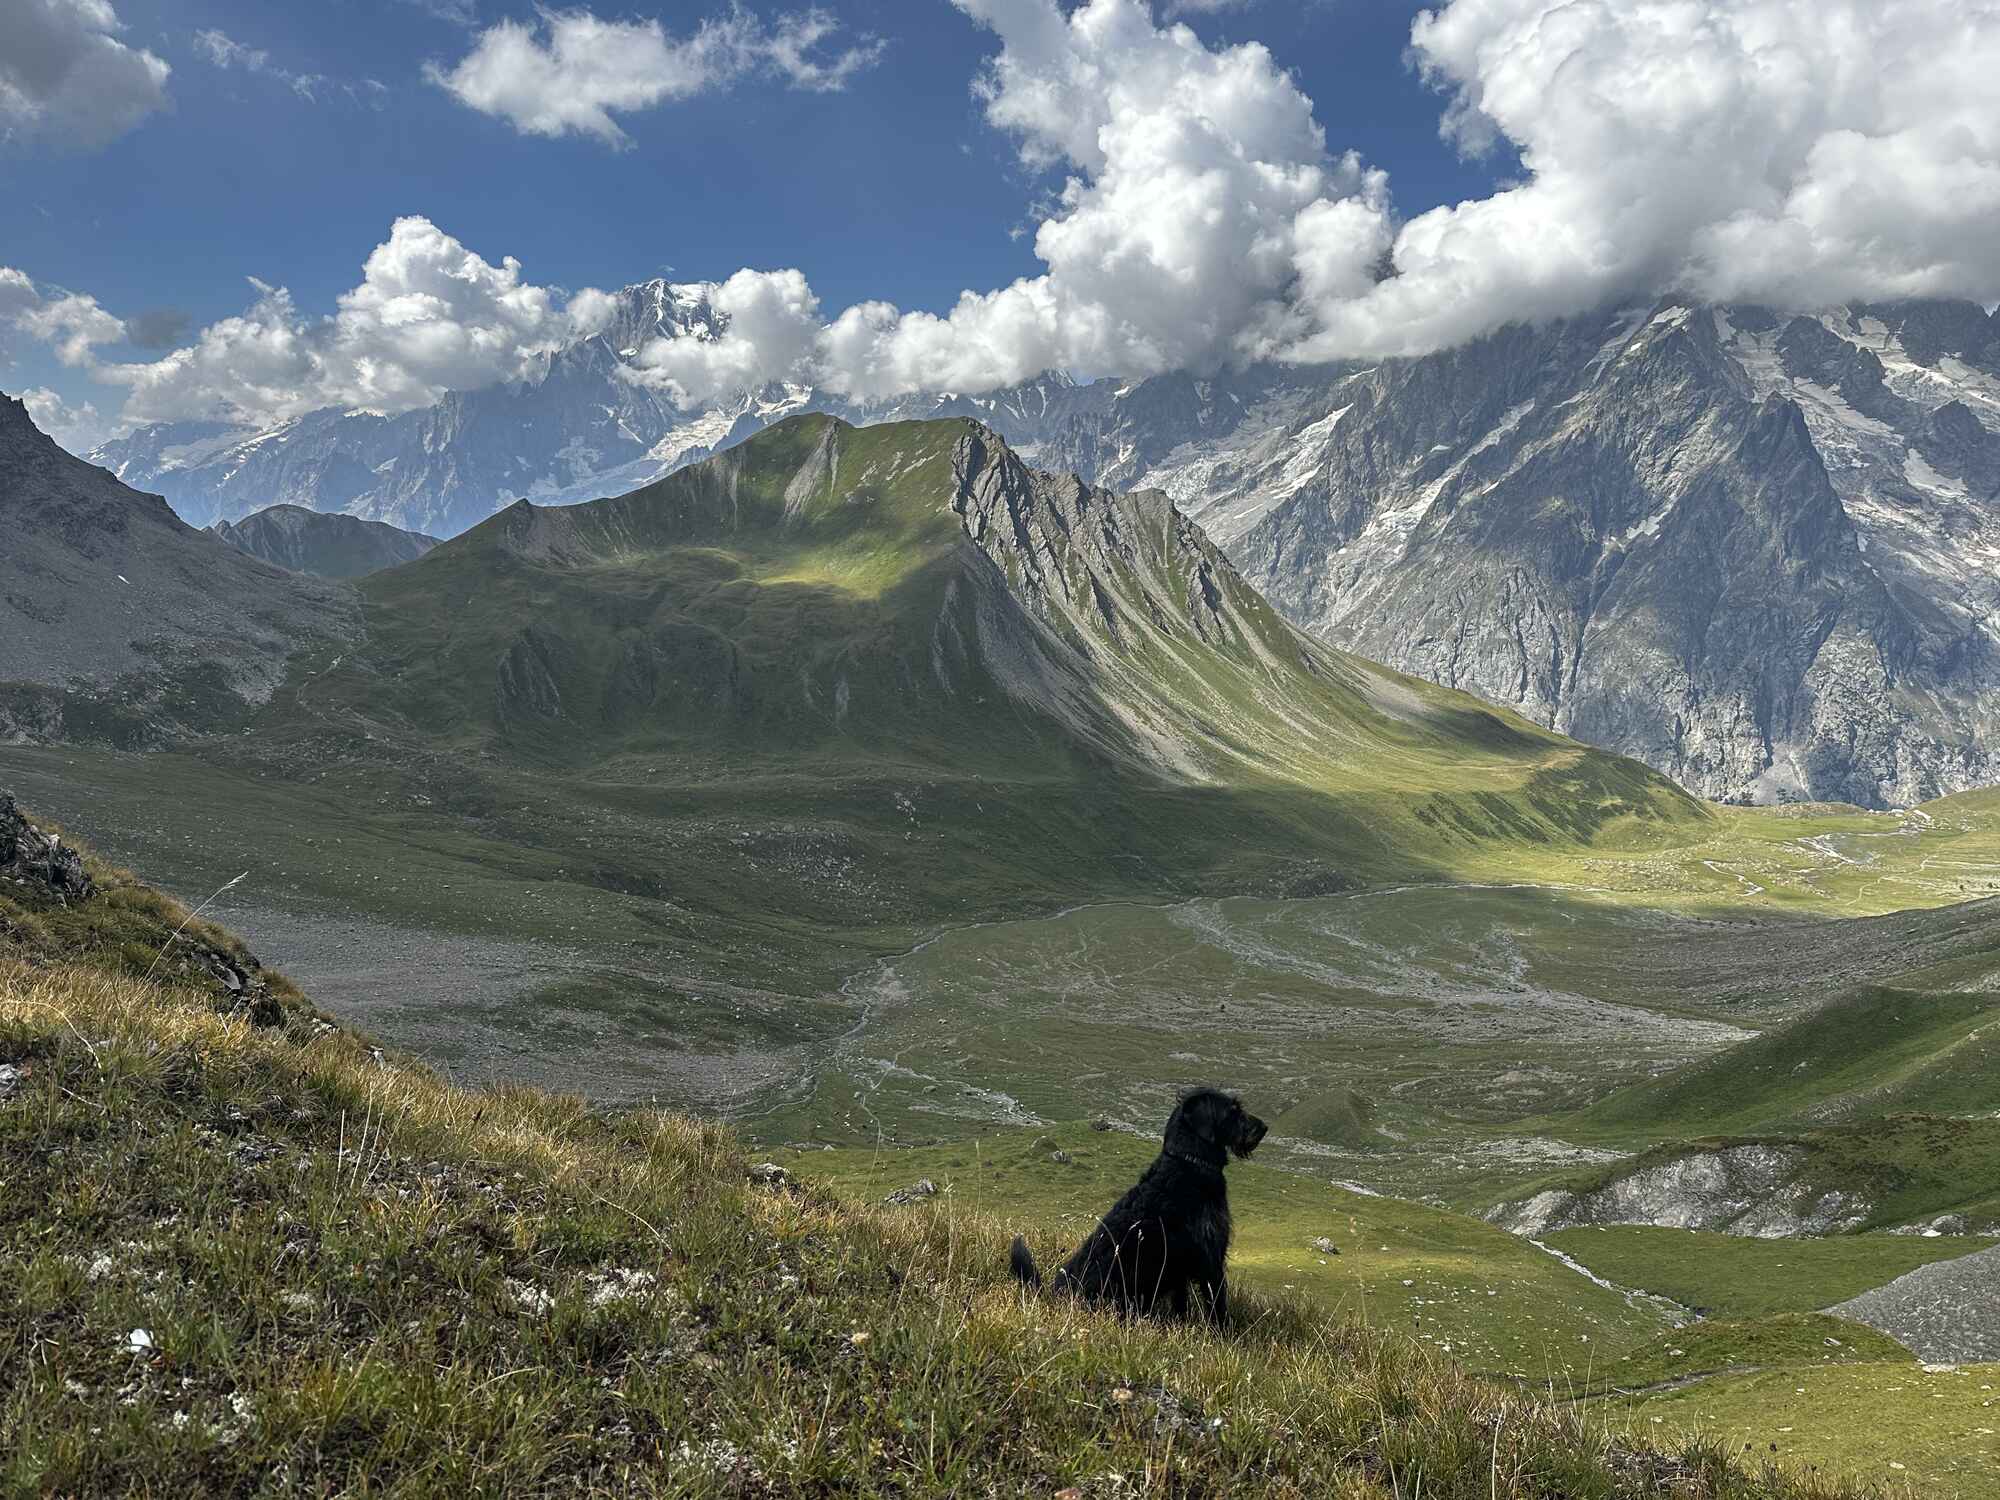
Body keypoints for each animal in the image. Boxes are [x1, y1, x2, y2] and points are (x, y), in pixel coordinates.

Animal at [1008, 1096, 1272, 1328]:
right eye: (1233, 1110)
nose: (1264, 1127)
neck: (1189, 1161)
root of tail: (1055, 1298)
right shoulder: (1210, 1257)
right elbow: (1217, 1304)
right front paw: (1225, 1334)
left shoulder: (1180, 1270)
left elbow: (1181, 1303)